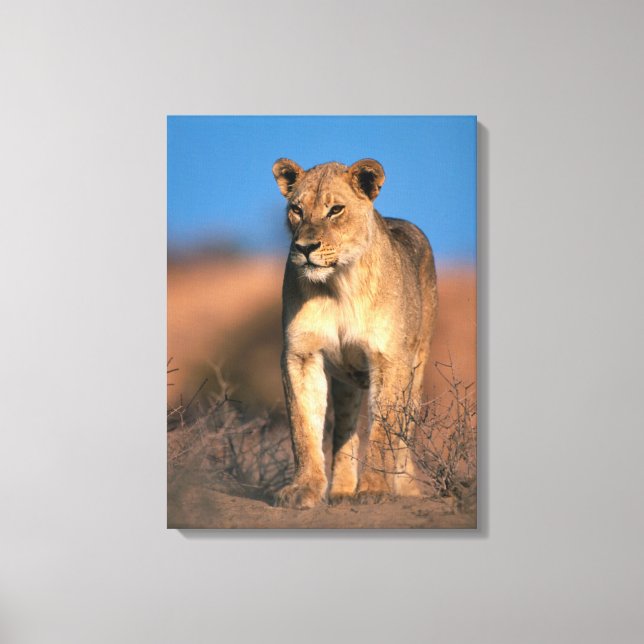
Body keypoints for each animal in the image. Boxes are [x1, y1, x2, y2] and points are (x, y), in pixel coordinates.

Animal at [271, 157, 437, 509]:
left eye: (335, 209)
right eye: (296, 209)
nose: (305, 248)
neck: (339, 284)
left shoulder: (390, 359)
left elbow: (384, 431)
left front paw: (375, 489)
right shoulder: (301, 354)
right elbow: (303, 426)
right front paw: (304, 488)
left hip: (416, 368)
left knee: (405, 433)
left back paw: (403, 487)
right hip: (346, 383)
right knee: (344, 431)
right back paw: (342, 491)